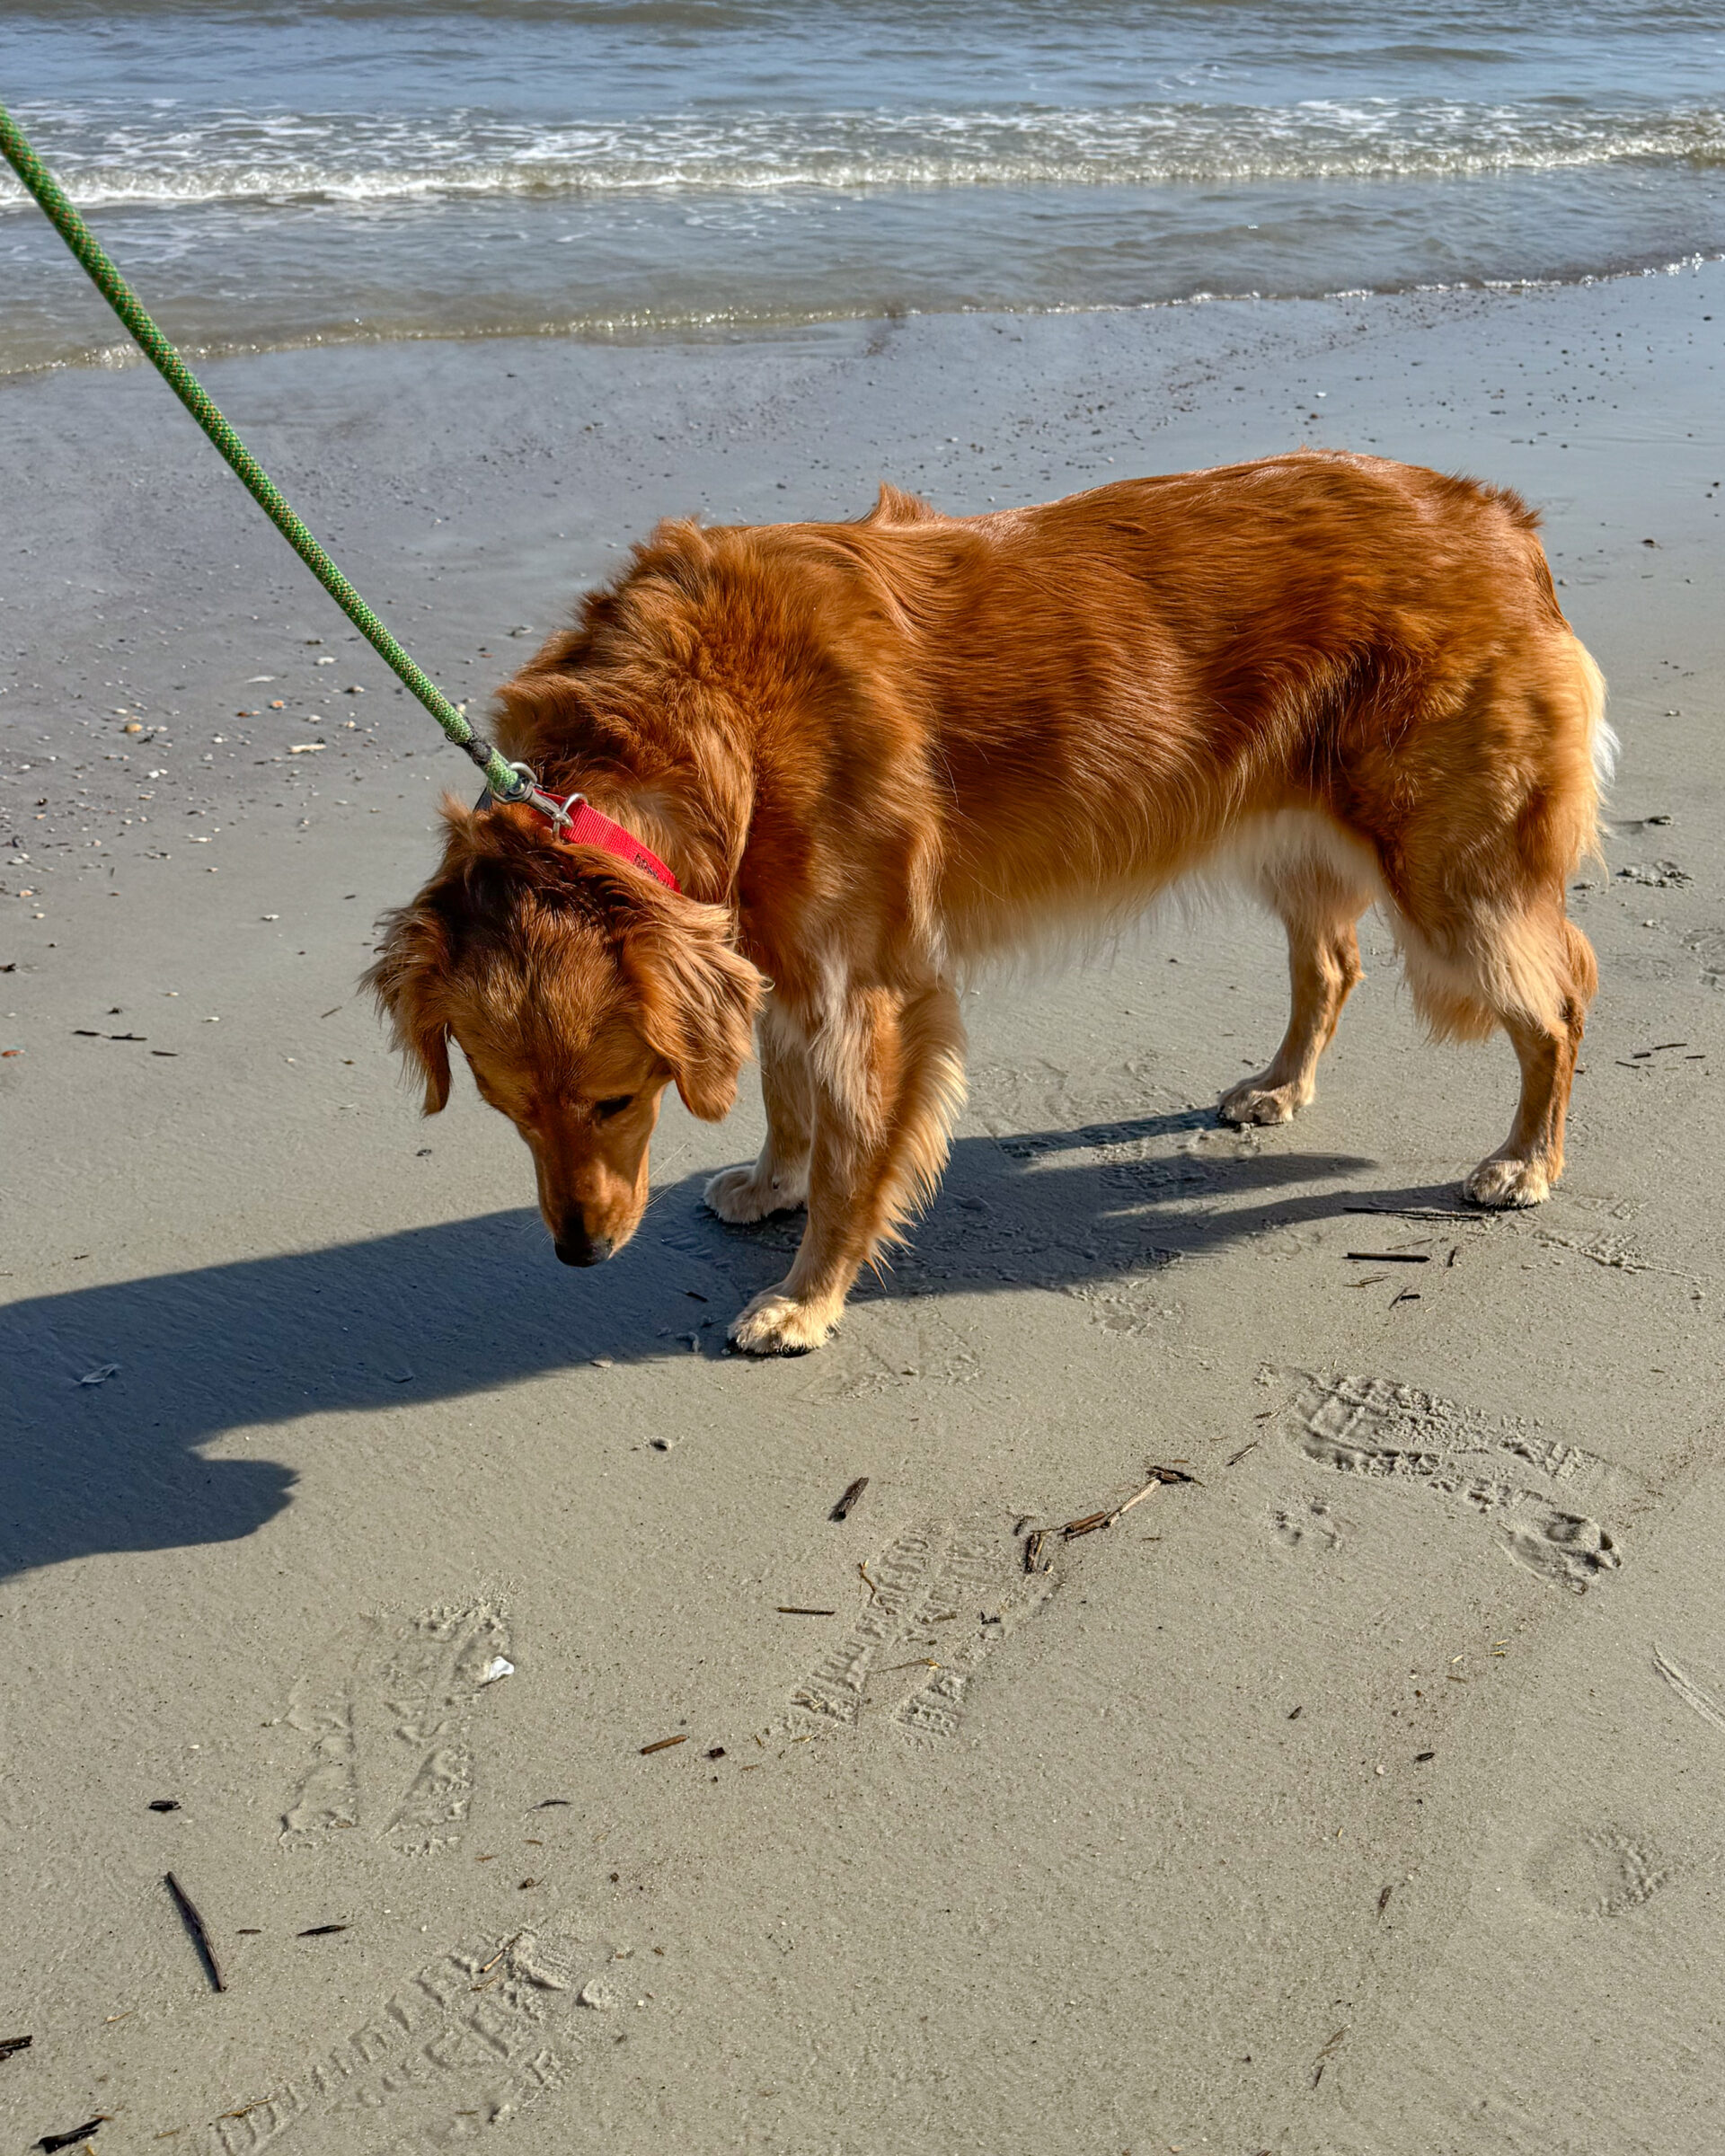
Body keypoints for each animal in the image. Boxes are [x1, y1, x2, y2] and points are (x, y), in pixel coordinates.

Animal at [370, 455, 1613, 1354]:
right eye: (508, 1111)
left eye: (618, 1102)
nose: (579, 1253)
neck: (693, 723)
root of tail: (1500, 521)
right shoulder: (771, 955)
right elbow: (783, 1093)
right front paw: (770, 1182)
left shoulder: (864, 991)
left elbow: (848, 1161)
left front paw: (808, 1295)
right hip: (1296, 836)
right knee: (1333, 965)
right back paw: (1281, 1085)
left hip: (1454, 881)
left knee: (1559, 998)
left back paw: (1527, 1160)